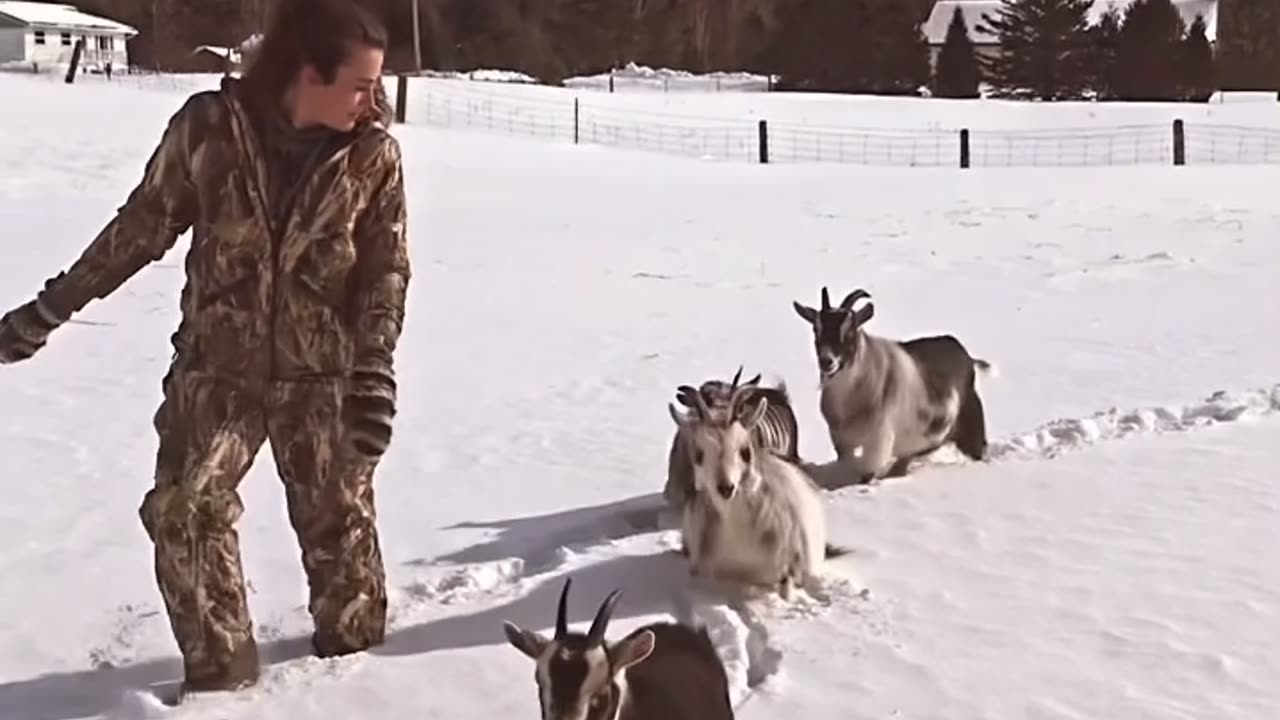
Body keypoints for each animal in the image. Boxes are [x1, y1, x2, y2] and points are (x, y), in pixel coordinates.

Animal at [788, 285, 998, 481]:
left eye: (849, 332)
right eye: (816, 330)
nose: (827, 361)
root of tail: (967, 357)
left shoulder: (878, 440)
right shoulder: (842, 440)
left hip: (971, 429)